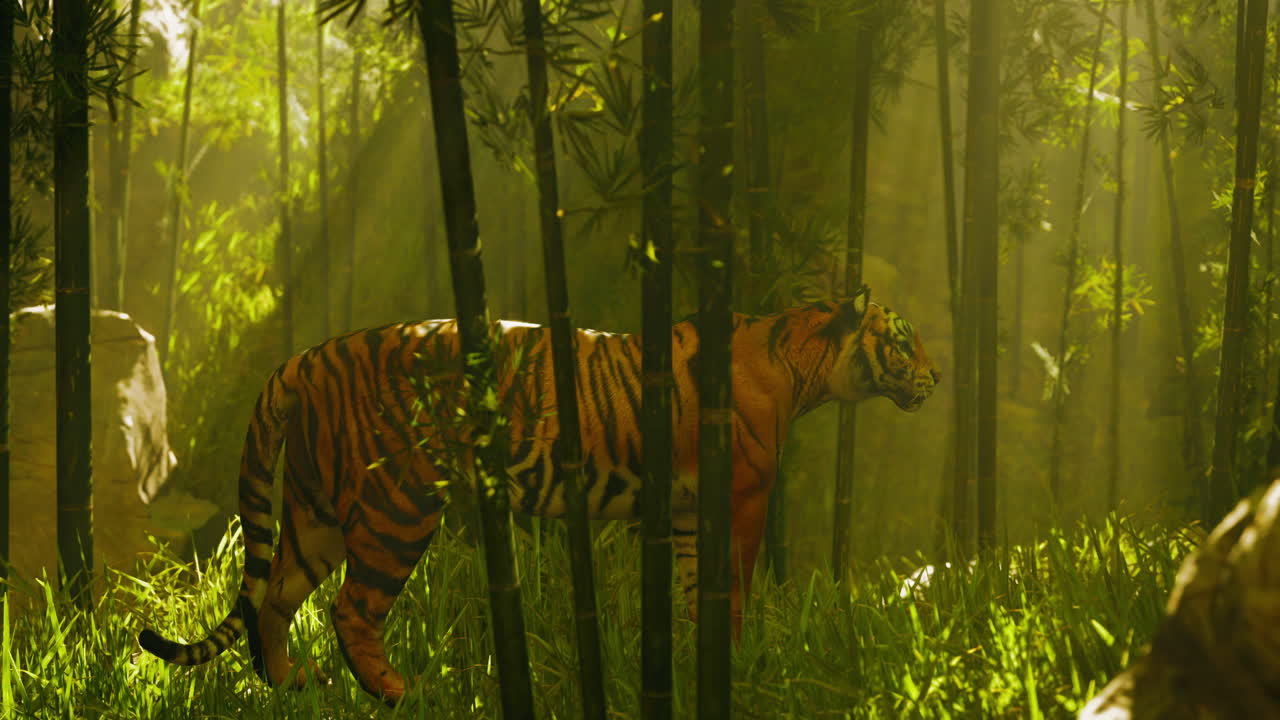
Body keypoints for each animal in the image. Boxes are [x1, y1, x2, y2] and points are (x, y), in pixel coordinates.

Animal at [137, 290, 939, 705]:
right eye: (902, 342)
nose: (936, 379)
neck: (803, 361)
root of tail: (303, 359)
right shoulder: (737, 500)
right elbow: (731, 592)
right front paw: (733, 666)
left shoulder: (685, 512)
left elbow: (691, 593)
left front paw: (690, 664)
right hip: (399, 505)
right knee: (349, 609)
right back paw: (402, 693)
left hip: (315, 514)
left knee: (273, 602)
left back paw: (290, 689)